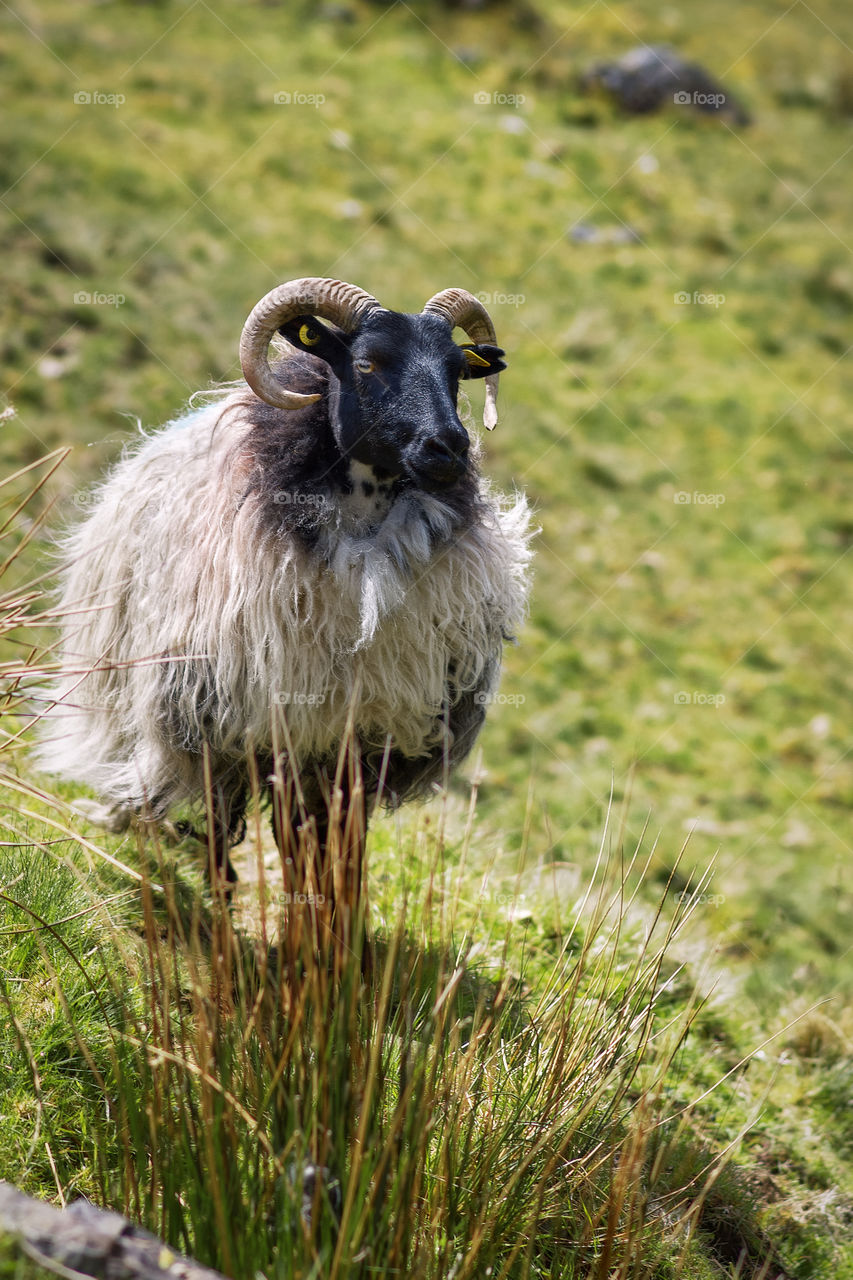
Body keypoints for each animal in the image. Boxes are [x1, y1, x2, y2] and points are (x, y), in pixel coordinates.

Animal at [39, 277, 535, 901]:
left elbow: (342, 840)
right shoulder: (264, 723)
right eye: (367, 363)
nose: (449, 447)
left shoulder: (361, 733)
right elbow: (285, 834)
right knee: (217, 815)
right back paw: (217, 884)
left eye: (456, 371)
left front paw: (339, 916)